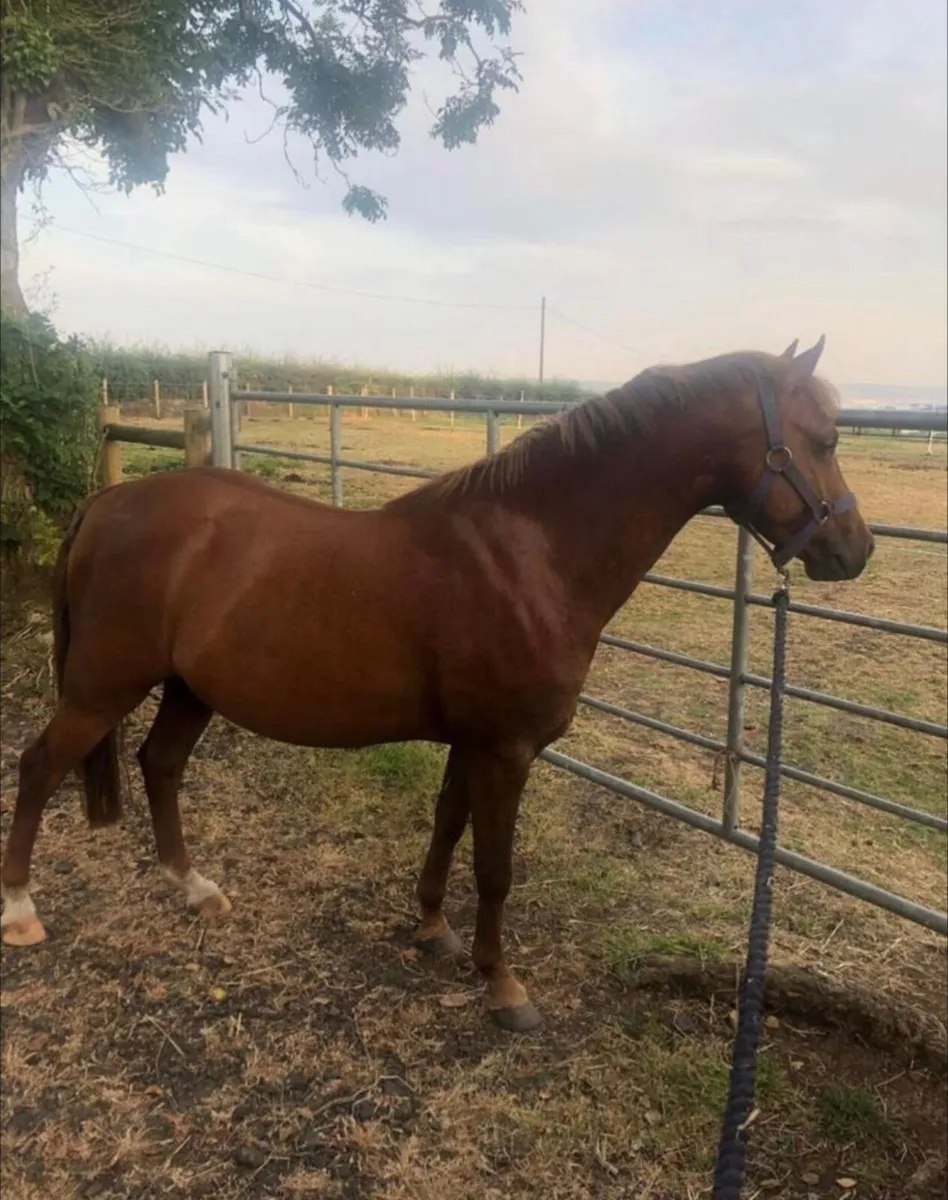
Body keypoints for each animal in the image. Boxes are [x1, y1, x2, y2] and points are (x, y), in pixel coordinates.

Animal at [0, 337, 873, 1031]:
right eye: (824, 437)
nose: (856, 550)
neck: (534, 550)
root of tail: (109, 502)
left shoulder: (473, 743)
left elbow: (448, 826)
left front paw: (431, 929)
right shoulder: (507, 748)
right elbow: (495, 866)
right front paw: (503, 984)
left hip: (189, 688)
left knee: (160, 765)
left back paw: (195, 888)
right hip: (101, 688)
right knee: (40, 766)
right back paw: (21, 911)